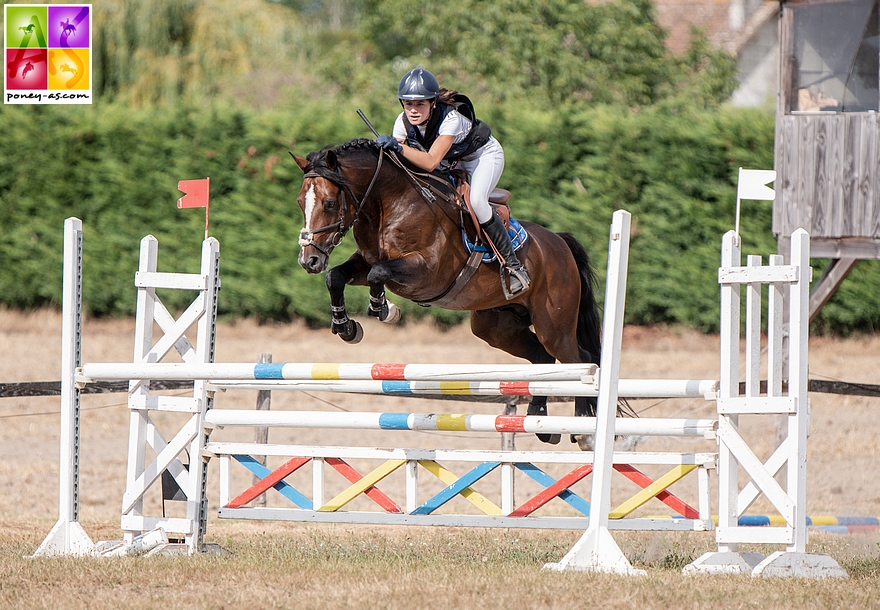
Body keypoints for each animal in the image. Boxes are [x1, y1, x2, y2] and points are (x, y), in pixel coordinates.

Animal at [290, 138, 620, 444]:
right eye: (299, 202)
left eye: (329, 203)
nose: (309, 261)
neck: (388, 204)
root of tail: (560, 242)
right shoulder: (364, 261)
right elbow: (336, 276)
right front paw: (346, 327)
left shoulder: (426, 272)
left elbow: (378, 274)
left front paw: (383, 308)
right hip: (497, 328)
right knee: (542, 360)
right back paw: (541, 422)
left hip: (554, 324)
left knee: (578, 359)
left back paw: (583, 428)